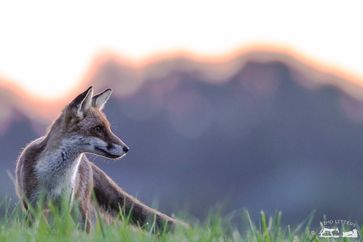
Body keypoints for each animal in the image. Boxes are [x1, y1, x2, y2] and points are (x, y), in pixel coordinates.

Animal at [15, 86, 183, 232]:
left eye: (108, 128)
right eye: (98, 128)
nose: (126, 148)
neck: (53, 177)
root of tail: (88, 164)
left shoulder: (64, 205)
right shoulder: (32, 206)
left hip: (80, 210)